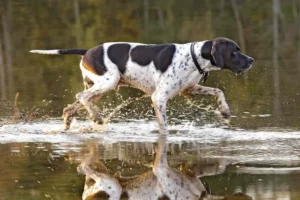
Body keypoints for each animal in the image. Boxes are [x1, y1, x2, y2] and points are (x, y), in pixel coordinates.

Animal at [29, 37, 253, 133]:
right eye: (234, 51)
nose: (251, 60)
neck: (194, 56)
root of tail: (88, 51)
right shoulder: (159, 98)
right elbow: (164, 125)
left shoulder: (189, 90)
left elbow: (219, 91)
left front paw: (224, 110)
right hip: (107, 82)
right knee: (81, 97)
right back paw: (97, 116)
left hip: (100, 88)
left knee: (71, 107)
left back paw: (71, 123)